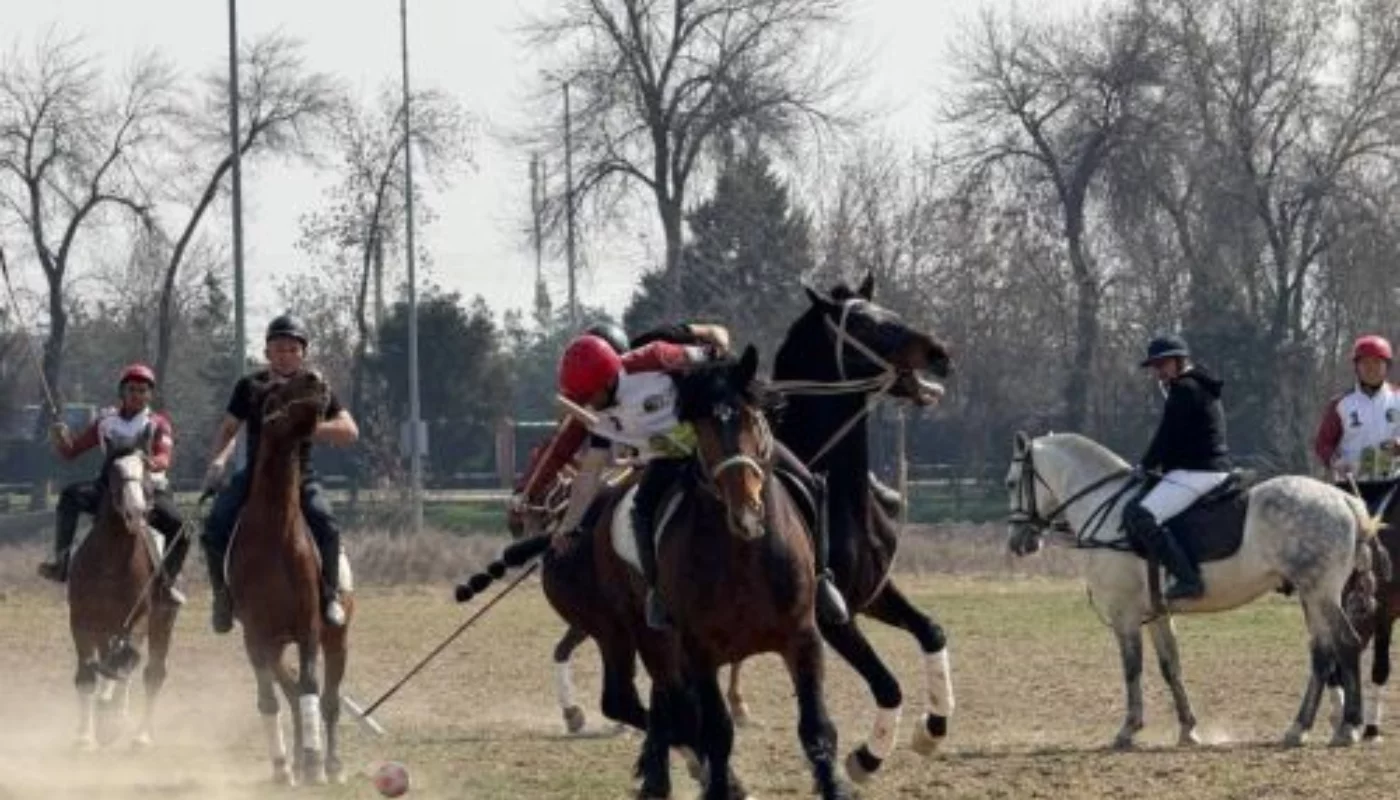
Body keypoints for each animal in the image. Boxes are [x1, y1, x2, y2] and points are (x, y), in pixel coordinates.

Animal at [66, 448, 177, 750]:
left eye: (146, 470)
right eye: (114, 474)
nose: (137, 511)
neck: (110, 563)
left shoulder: (137, 619)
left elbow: (126, 664)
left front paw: (113, 721)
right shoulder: (81, 621)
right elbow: (87, 676)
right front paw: (84, 737)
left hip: (160, 622)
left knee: (151, 673)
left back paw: (141, 735)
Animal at [226, 372, 352, 784]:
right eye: (275, 392)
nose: (318, 378)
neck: (275, 532)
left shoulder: (308, 627)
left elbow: (312, 687)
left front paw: (314, 764)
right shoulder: (256, 637)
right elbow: (269, 700)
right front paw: (283, 767)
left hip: (336, 640)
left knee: (327, 700)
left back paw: (330, 764)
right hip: (276, 646)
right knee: (292, 694)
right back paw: (295, 760)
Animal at [772, 274, 957, 784]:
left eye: (891, 313)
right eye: (864, 326)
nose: (940, 352)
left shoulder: (873, 593)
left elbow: (932, 632)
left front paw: (932, 728)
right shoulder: (831, 619)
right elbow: (887, 684)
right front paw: (867, 756)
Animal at [1002, 428, 1383, 750]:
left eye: (1010, 483)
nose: (1020, 542)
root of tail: (1344, 500)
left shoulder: (1125, 614)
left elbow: (1132, 667)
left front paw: (1128, 729)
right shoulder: (1156, 613)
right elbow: (1170, 666)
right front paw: (1188, 729)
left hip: (1320, 592)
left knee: (1345, 644)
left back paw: (1345, 727)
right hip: (1312, 594)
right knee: (1322, 653)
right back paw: (1304, 728)